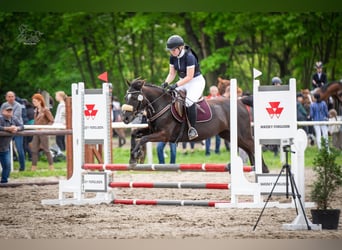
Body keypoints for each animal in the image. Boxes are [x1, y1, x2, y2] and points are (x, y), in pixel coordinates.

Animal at [121, 79, 270, 173]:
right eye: (125, 98)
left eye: (134, 98)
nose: (125, 118)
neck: (161, 105)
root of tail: (240, 102)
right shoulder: (151, 131)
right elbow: (135, 134)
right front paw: (134, 155)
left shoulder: (164, 135)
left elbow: (143, 139)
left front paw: (134, 157)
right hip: (229, 134)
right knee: (249, 149)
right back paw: (255, 168)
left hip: (242, 133)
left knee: (252, 146)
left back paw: (263, 170)